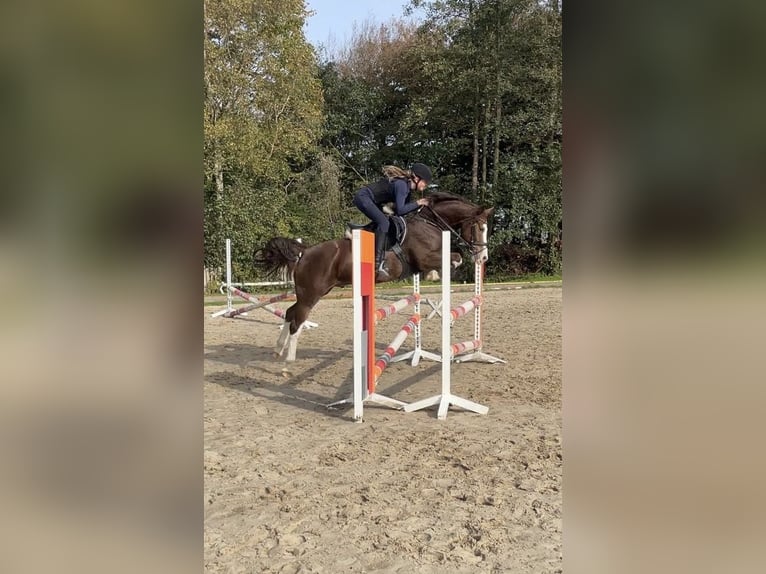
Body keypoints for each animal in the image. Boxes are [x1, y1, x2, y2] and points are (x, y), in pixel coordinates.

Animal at [255, 194, 496, 364]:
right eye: (480, 227)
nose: (483, 258)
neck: (430, 223)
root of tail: (305, 252)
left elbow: (454, 257)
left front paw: (434, 275)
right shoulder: (426, 257)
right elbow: (456, 257)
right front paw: (439, 273)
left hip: (313, 291)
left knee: (290, 313)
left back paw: (277, 350)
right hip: (311, 293)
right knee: (298, 320)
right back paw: (289, 360)